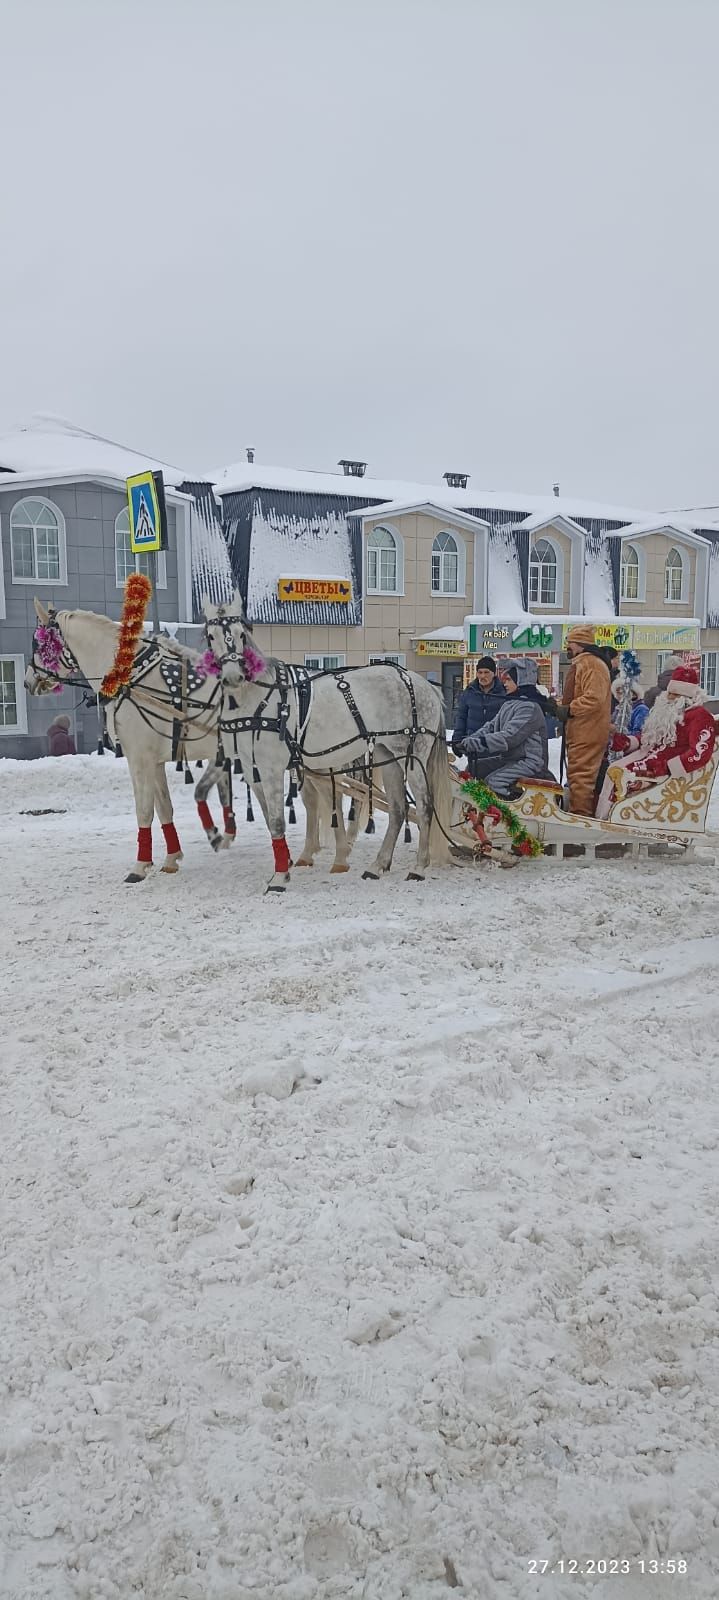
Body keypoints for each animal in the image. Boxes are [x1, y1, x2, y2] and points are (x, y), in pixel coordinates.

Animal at [201, 592, 451, 889]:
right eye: (210, 636)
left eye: (241, 634)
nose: (232, 677)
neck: (255, 700)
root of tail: (424, 684)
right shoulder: (253, 772)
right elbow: (270, 821)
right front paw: (284, 864)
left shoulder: (272, 769)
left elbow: (277, 821)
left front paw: (280, 877)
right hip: (387, 754)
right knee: (399, 809)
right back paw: (378, 865)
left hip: (414, 755)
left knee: (424, 806)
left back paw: (419, 867)